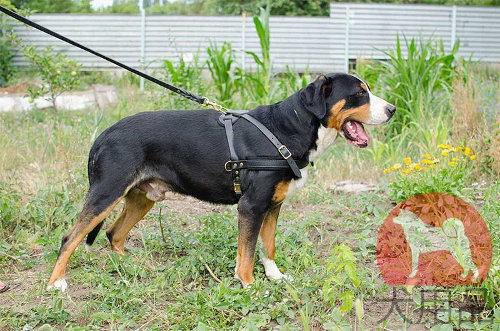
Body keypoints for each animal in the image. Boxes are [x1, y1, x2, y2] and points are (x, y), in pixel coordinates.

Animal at [48, 73, 396, 294]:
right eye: (359, 93)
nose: (392, 109)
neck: (287, 128)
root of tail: (104, 134)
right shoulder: (251, 206)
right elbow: (247, 253)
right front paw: (249, 286)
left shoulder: (273, 205)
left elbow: (268, 246)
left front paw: (275, 277)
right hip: (106, 193)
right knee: (70, 238)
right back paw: (56, 283)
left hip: (142, 198)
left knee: (113, 233)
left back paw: (131, 267)